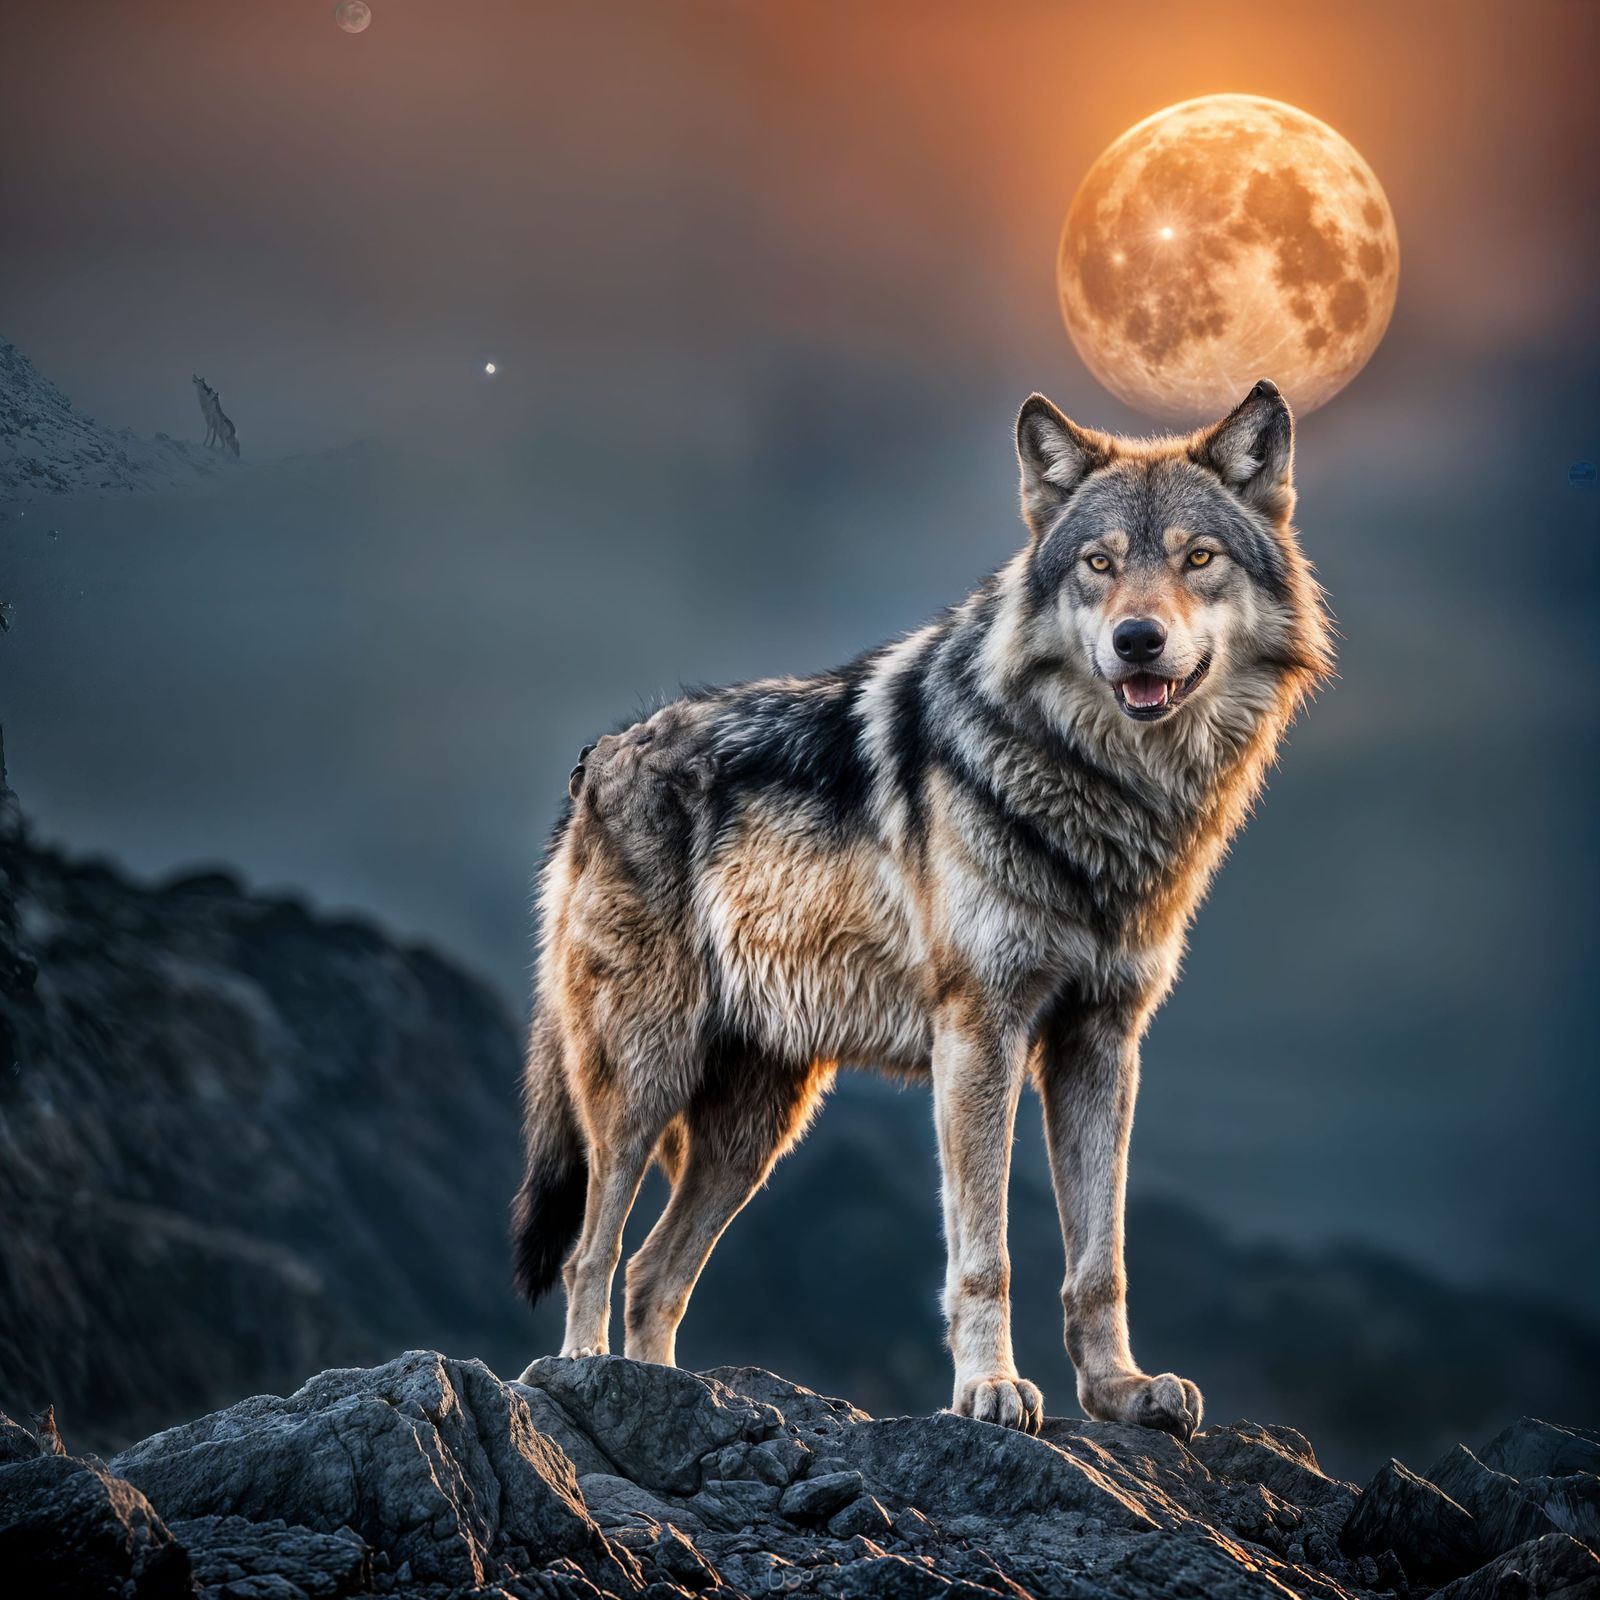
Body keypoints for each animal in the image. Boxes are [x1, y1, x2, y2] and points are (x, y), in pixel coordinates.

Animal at [512, 379, 1333, 1439]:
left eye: (1199, 558)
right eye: (1100, 564)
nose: (1137, 639)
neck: (1105, 794)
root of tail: (599, 758)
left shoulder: (1102, 1039)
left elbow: (1099, 1256)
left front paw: (1119, 1390)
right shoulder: (980, 1031)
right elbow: (986, 1253)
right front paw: (989, 1389)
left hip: (757, 1129)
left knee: (656, 1275)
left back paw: (661, 1388)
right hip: (643, 1078)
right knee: (594, 1249)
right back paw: (581, 1371)